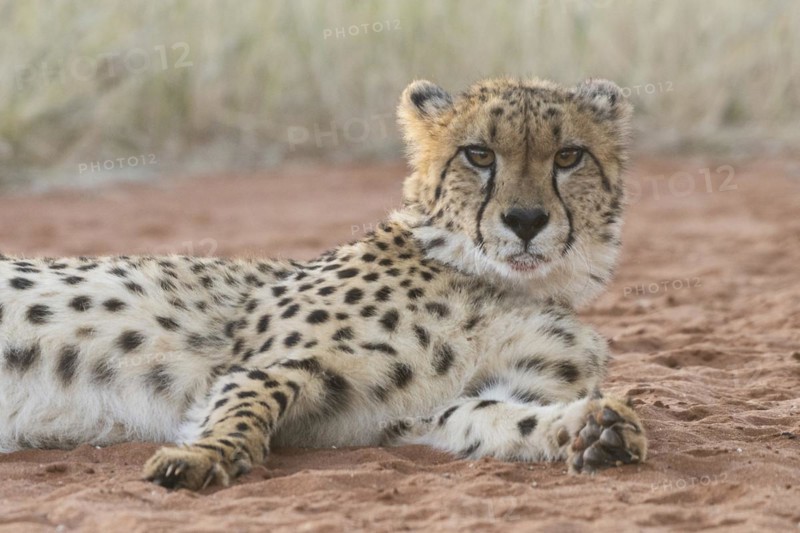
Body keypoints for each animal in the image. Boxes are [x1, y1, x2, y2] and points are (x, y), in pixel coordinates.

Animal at [0, 77, 646, 490]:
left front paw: (592, 429)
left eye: (569, 157)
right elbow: (248, 404)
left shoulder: (432, 412)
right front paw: (209, 456)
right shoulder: (265, 365)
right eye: (479, 155)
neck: (501, 285)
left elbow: (503, 417)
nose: (526, 220)